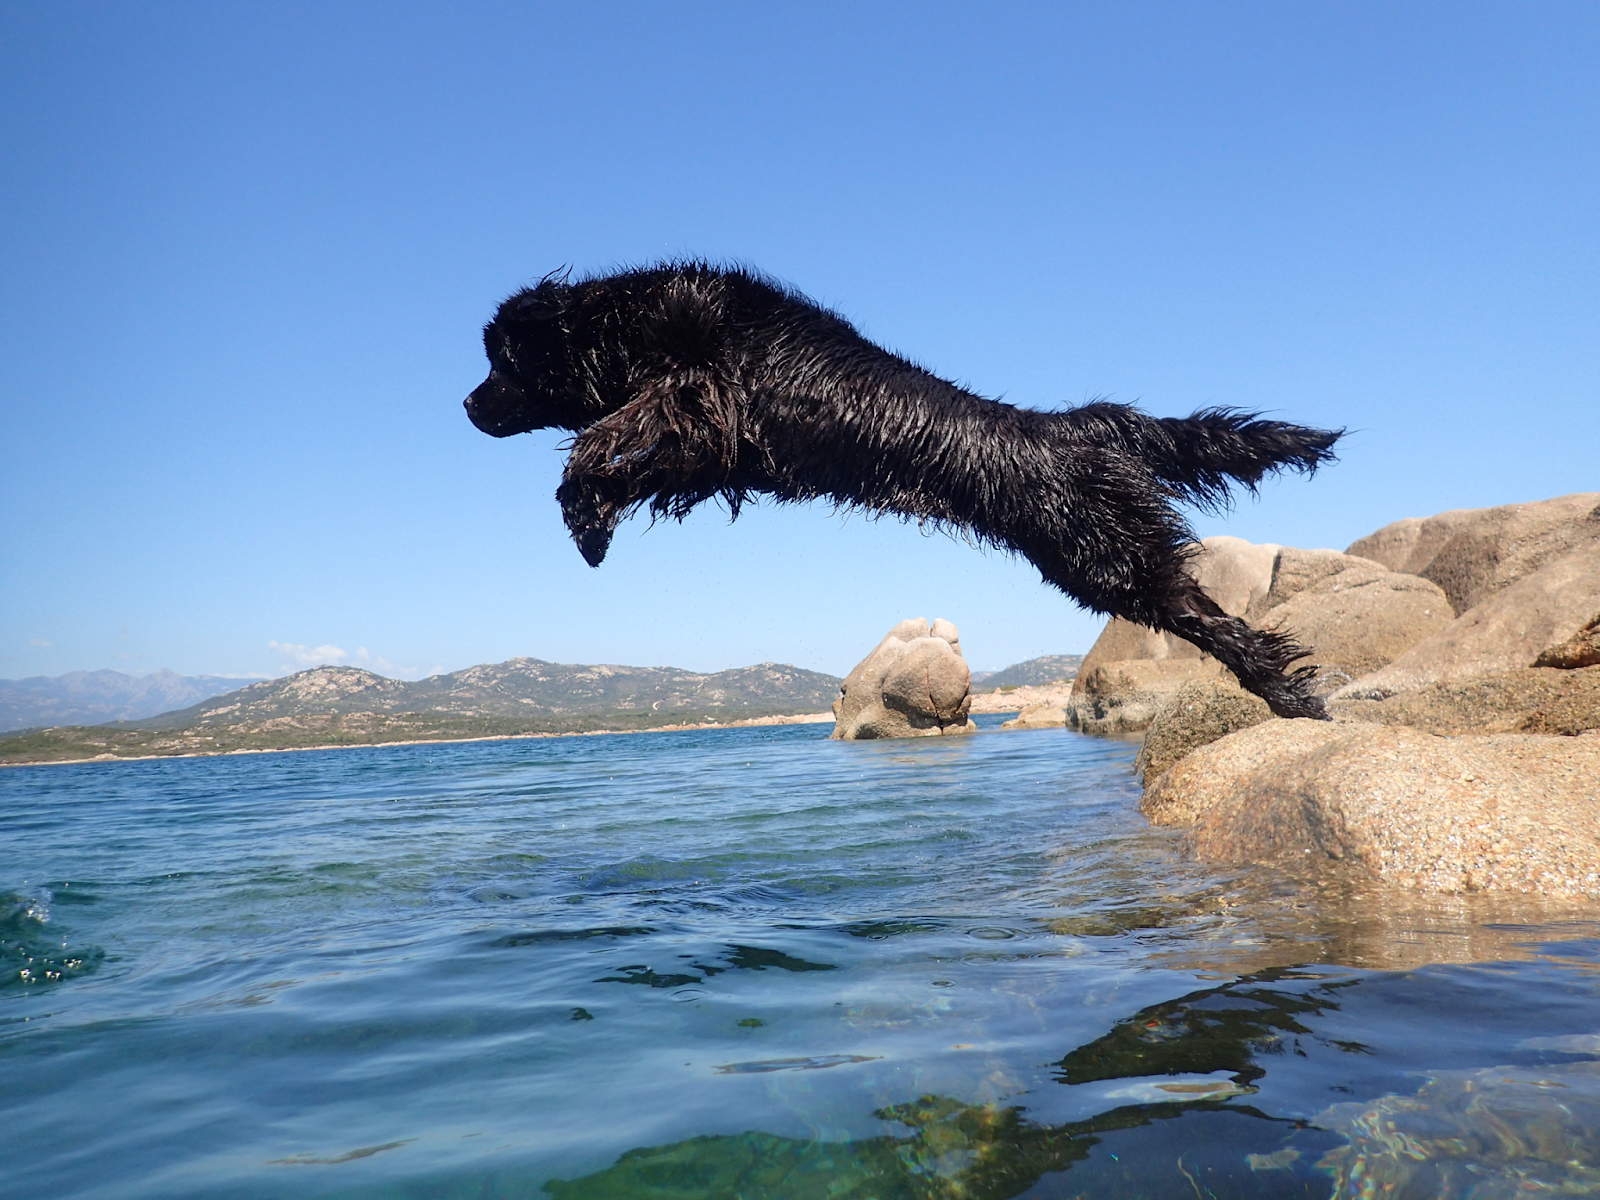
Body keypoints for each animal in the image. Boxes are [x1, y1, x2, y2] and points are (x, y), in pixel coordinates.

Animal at [467, 264, 1344, 720]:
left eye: (502, 362)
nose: (468, 407)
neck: (634, 317)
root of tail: (1073, 428)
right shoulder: (720, 455)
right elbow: (632, 461)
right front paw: (593, 523)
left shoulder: (711, 397)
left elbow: (609, 432)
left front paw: (585, 506)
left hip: (1108, 556)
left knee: (1221, 625)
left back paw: (1291, 697)